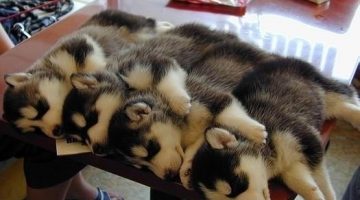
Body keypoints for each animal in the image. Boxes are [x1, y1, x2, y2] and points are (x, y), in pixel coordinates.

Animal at [2, 9, 172, 138]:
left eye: (41, 107)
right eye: (35, 129)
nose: (56, 131)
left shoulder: (81, 46)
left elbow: (94, 64)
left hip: (130, 23)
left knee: (149, 23)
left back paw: (166, 26)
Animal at [190, 56, 360, 200]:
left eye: (237, 184)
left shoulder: (307, 140)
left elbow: (321, 179)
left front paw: (329, 195)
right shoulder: (290, 167)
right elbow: (307, 186)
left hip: (321, 83)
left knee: (347, 94)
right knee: (340, 107)